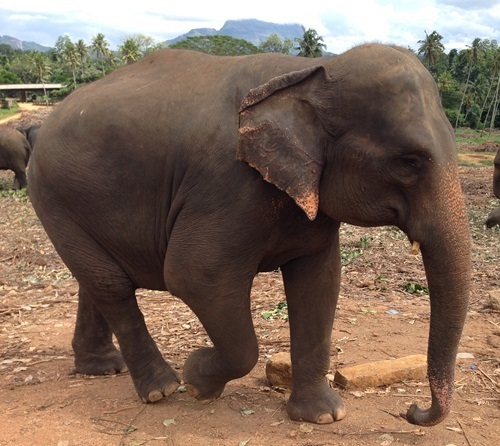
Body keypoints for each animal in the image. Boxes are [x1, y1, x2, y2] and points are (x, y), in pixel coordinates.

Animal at [29, 43, 470, 426]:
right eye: (408, 162)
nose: (412, 410)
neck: (312, 71)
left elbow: (319, 282)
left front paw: (323, 416)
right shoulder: (227, 185)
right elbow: (195, 276)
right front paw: (197, 380)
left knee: (95, 280)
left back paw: (103, 368)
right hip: (51, 194)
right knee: (111, 284)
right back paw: (162, 389)